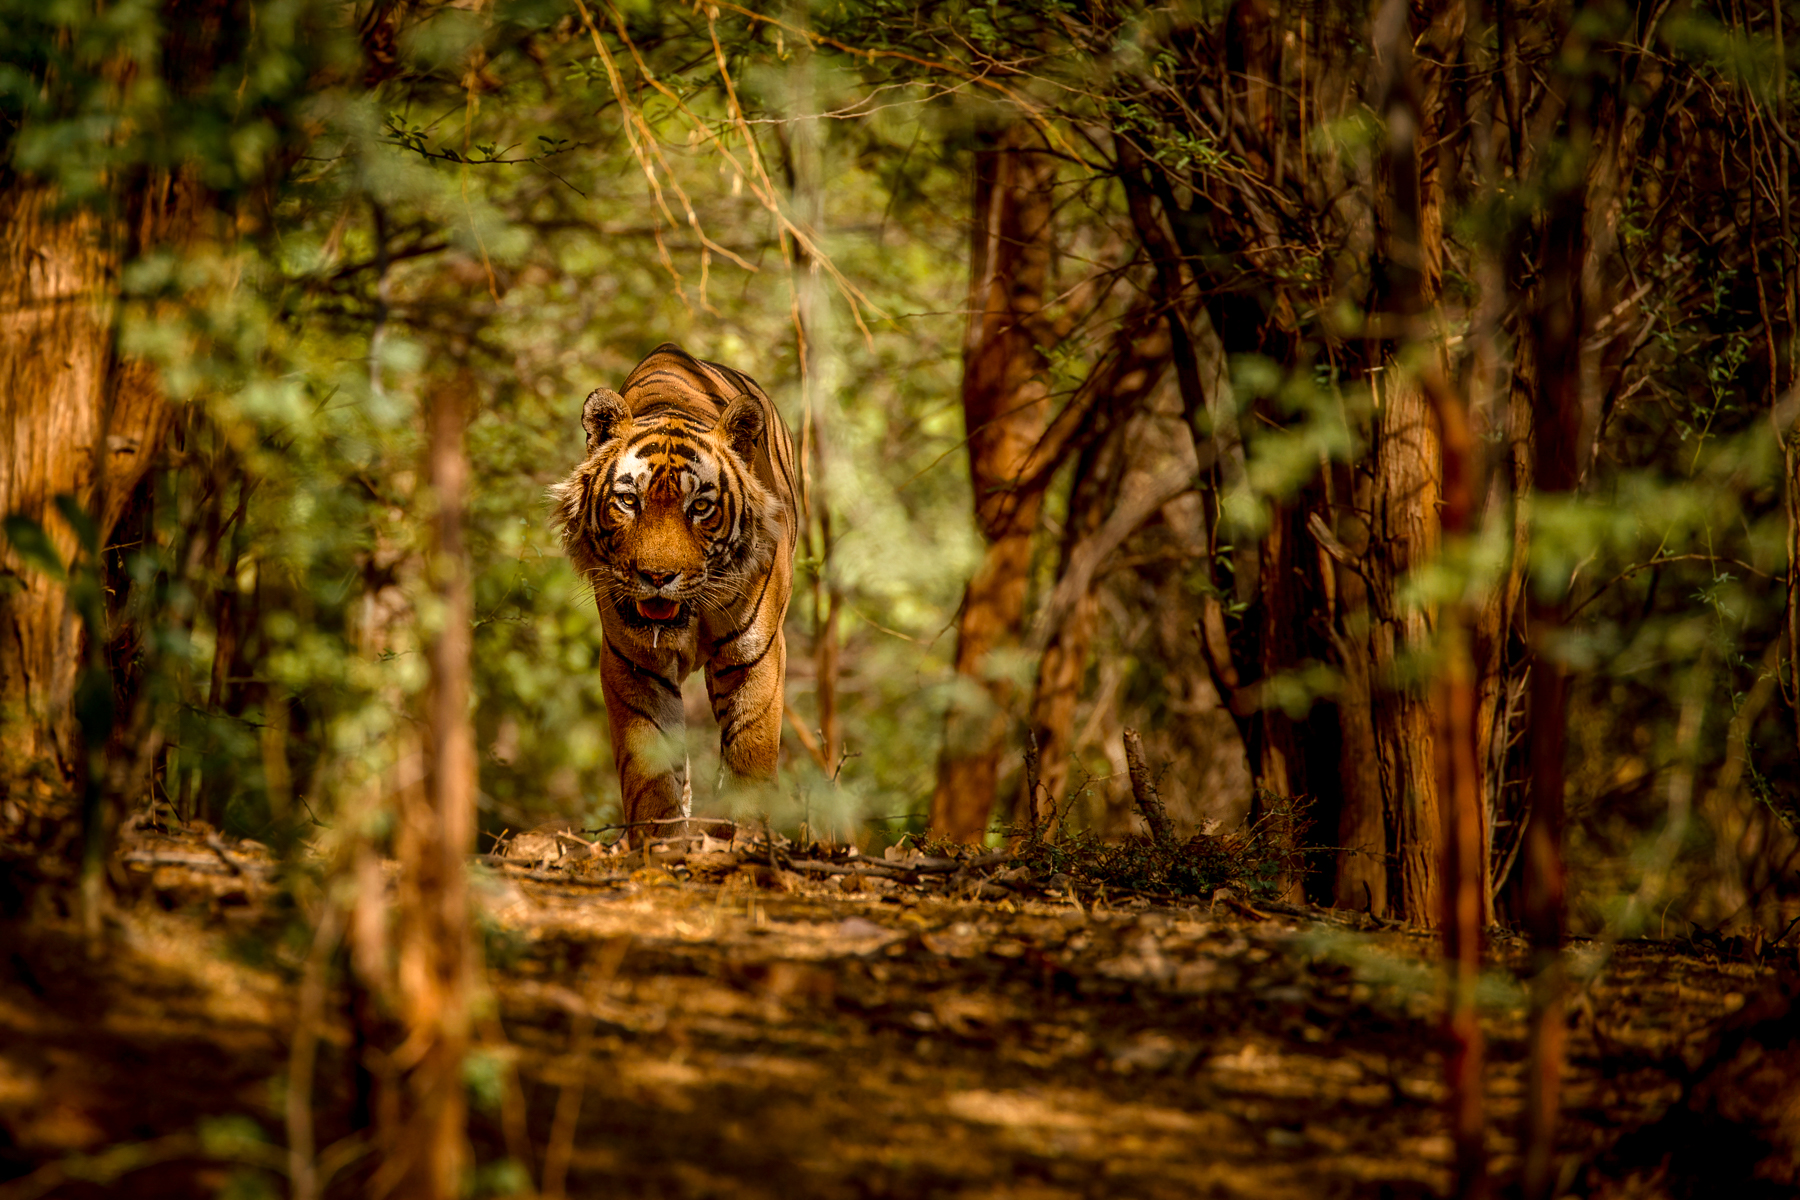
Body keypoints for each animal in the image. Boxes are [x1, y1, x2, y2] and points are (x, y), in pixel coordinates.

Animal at [550, 343, 799, 842]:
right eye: (629, 501)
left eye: (699, 506)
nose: (658, 576)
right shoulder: (633, 663)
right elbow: (649, 765)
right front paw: (660, 843)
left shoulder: (756, 652)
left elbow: (751, 747)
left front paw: (747, 836)